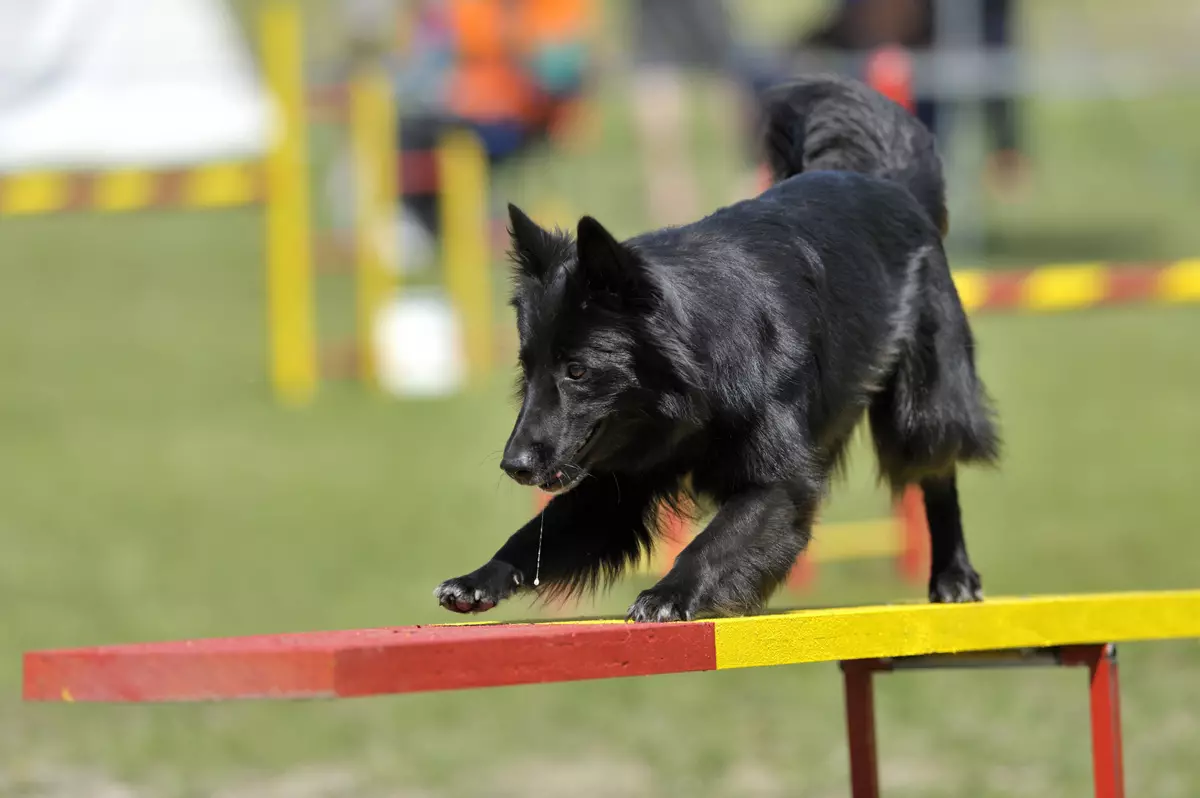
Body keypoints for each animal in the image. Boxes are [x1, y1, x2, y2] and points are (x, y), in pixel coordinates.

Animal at [436, 74, 998, 624]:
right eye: (527, 370)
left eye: (577, 370)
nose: (514, 466)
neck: (690, 381)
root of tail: (891, 183)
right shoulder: (619, 480)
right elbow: (541, 530)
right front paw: (480, 577)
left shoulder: (778, 482)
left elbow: (714, 541)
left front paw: (670, 593)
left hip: (920, 405)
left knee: (937, 472)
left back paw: (954, 574)